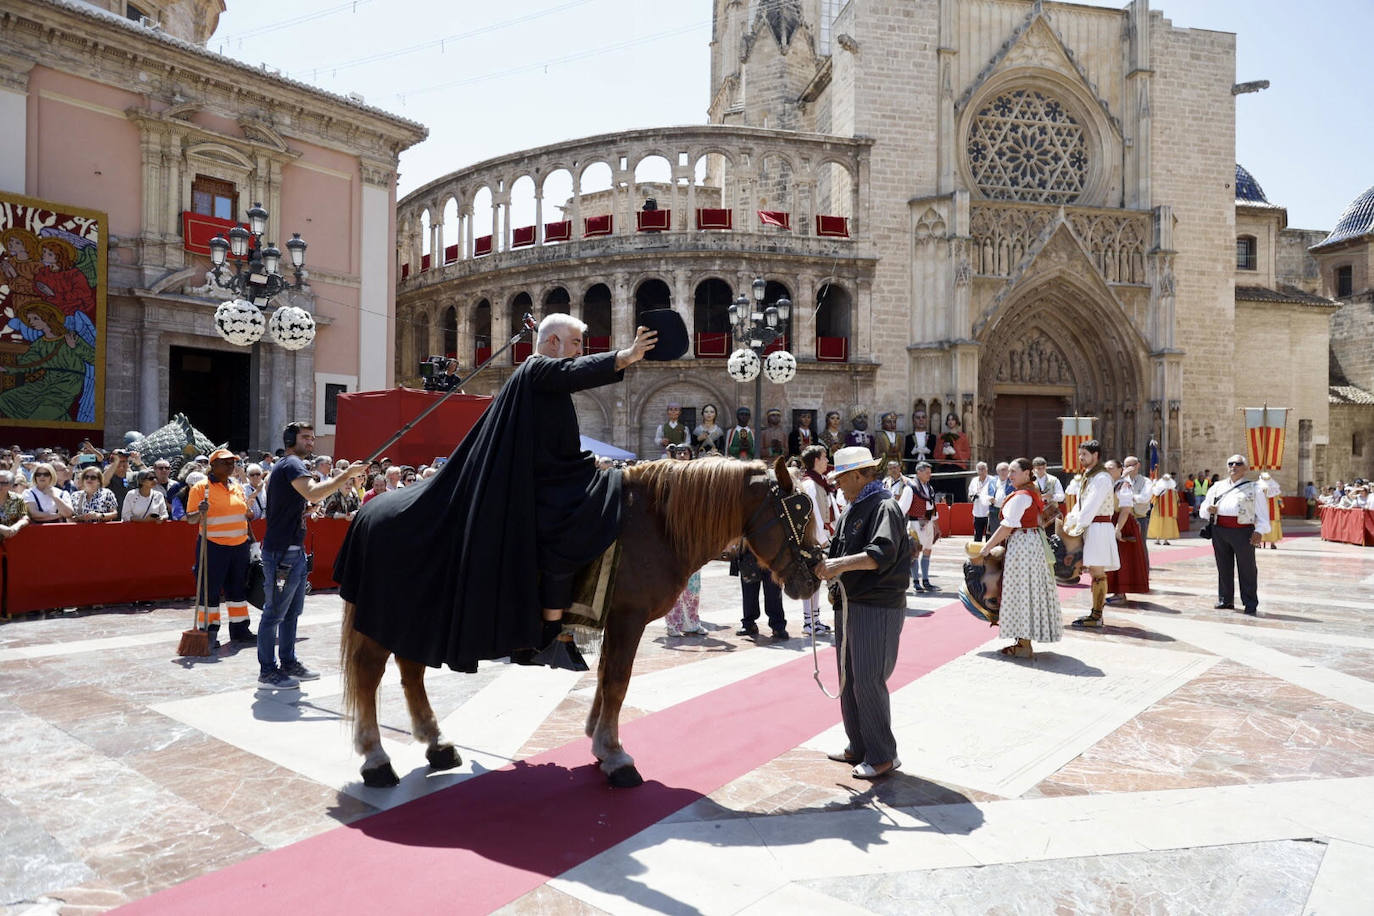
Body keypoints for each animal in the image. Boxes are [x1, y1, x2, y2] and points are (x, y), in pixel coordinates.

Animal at [339, 455, 818, 791]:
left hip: (416, 613)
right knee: (369, 672)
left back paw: (436, 744)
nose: (813, 577)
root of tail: (368, 511)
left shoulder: (616, 620)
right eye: (799, 513)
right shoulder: (628, 619)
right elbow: (618, 681)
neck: (656, 523)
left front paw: (598, 741)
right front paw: (615, 754)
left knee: (410, 668)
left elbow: (606, 677)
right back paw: (375, 758)